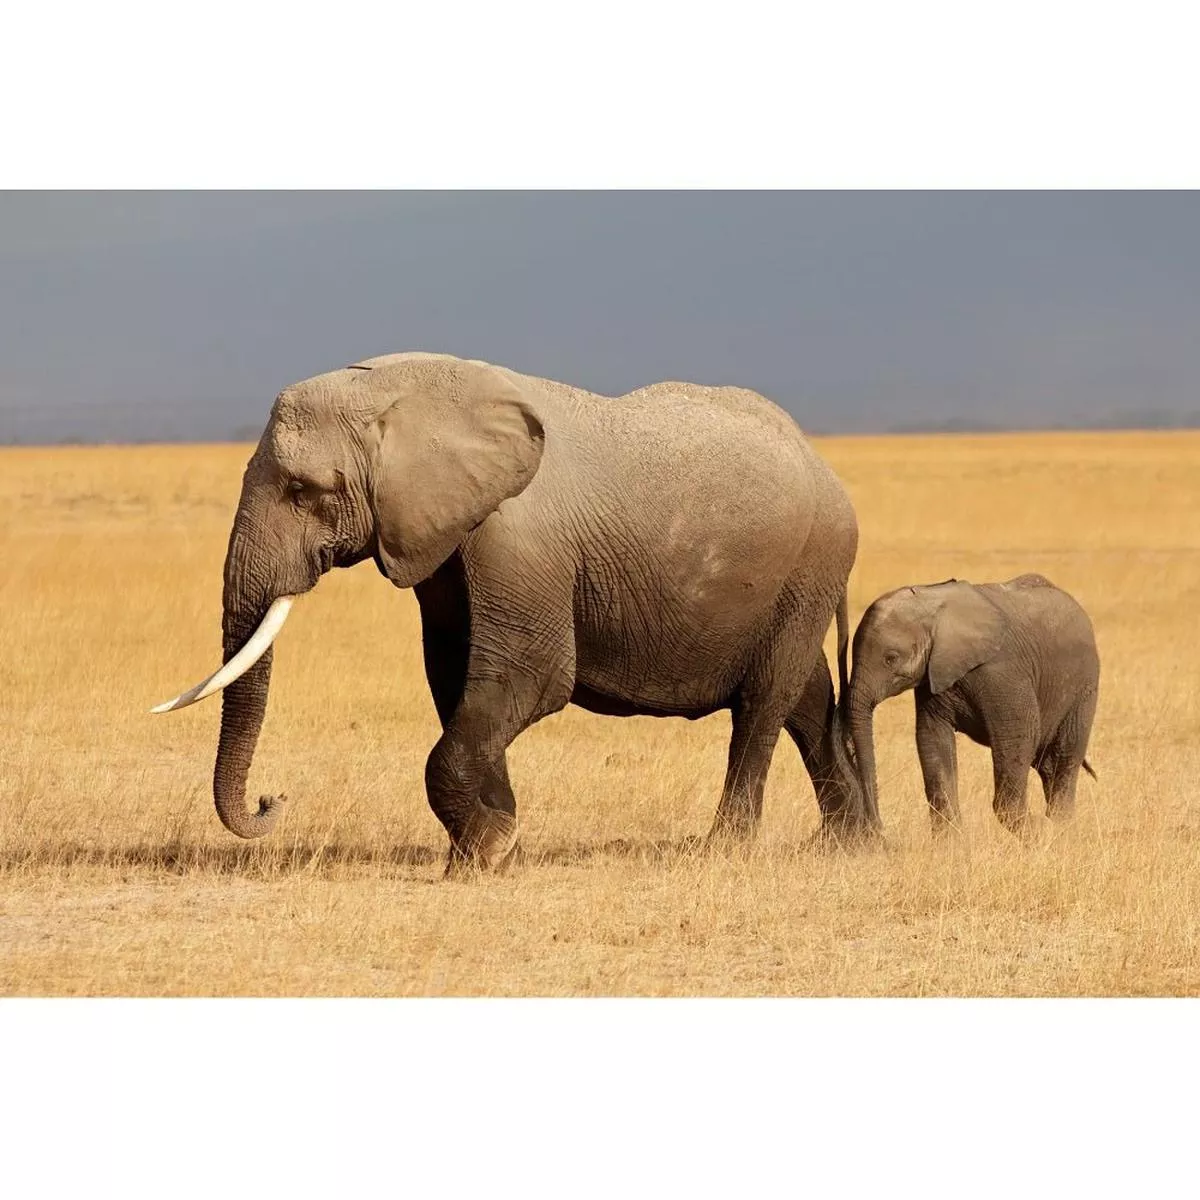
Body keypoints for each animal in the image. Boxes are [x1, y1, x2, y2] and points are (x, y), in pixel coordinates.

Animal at [153, 352, 869, 872]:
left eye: (305, 491)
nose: (272, 800)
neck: (403, 392)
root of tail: (825, 465)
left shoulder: (517, 537)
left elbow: (529, 677)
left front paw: (485, 854)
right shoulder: (441, 538)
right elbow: (456, 681)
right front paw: (491, 843)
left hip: (813, 561)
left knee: (763, 703)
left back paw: (725, 849)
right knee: (806, 697)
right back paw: (850, 843)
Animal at [841, 574, 1099, 835]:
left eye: (890, 658)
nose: (877, 827)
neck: (933, 603)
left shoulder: (1002, 671)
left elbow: (1019, 735)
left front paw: (1037, 831)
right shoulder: (933, 676)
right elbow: (931, 739)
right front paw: (950, 841)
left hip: (1085, 686)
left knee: (1064, 757)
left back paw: (1061, 828)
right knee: (1047, 763)